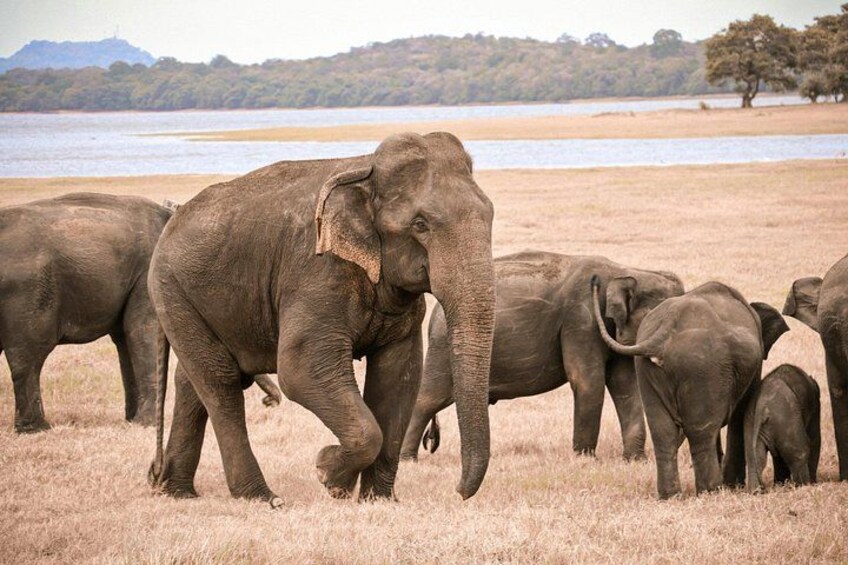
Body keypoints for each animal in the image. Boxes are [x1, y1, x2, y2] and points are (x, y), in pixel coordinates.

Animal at [147, 132, 496, 507]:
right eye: (420, 225)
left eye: (490, 216)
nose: (458, 492)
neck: (366, 169)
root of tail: (172, 219)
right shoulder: (316, 272)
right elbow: (300, 370)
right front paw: (329, 475)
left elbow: (399, 375)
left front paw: (378, 500)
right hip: (171, 289)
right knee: (220, 381)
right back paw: (263, 498)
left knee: (191, 380)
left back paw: (178, 492)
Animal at [400, 251, 684, 462]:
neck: (629, 271)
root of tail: (435, 314)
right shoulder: (580, 319)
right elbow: (587, 381)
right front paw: (584, 459)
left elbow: (625, 386)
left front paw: (635, 460)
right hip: (443, 349)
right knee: (428, 399)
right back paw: (407, 459)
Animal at [592, 279, 789, 498]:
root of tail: (666, 329)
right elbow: (742, 413)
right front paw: (733, 486)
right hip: (702, 367)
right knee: (702, 431)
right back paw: (711, 491)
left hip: (646, 367)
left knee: (662, 430)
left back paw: (671, 495)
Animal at [744, 364, 820, 492]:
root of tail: (762, 406)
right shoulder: (815, 409)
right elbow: (814, 440)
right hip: (786, 416)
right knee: (801, 452)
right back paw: (803, 486)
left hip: (750, 420)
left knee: (753, 458)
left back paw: (756, 492)